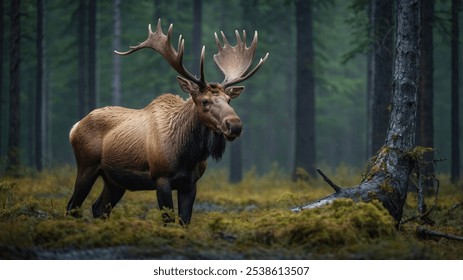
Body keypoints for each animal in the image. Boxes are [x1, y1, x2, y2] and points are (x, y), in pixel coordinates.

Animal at [65, 18, 268, 224]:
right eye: (205, 101)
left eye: (229, 100)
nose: (234, 125)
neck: (188, 154)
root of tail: (74, 127)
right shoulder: (161, 178)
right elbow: (168, 220)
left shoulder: (190, 183)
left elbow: (184, 220)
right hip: (87, 166)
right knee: (72, 206)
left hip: (115, 181)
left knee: (98, 208)